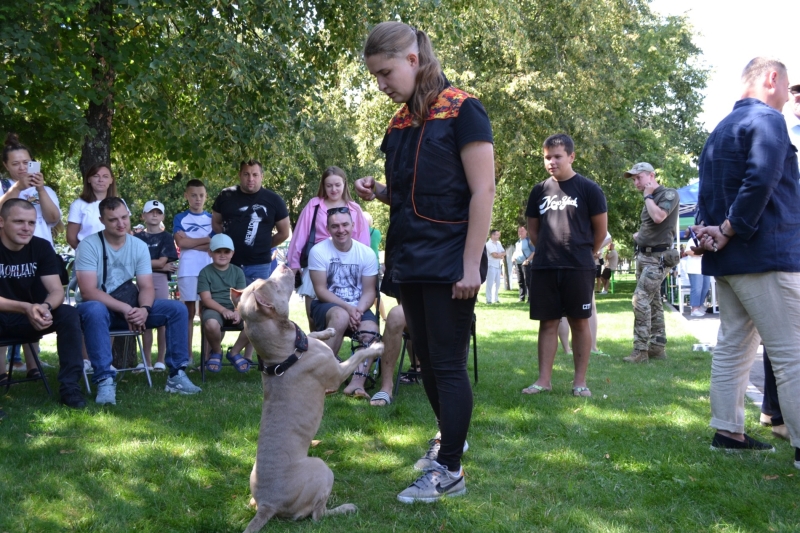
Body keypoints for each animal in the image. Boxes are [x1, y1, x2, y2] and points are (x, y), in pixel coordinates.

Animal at [231, 264, 384, 528]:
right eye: (272, 283)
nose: (284, 264)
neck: (283, 354)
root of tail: (268, 505)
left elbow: (310, 333)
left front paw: (328, 330)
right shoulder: (337, 373)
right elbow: (356, 357)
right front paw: (374, 347)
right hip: (322, 469)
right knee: (318, 515)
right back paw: (345, 508)